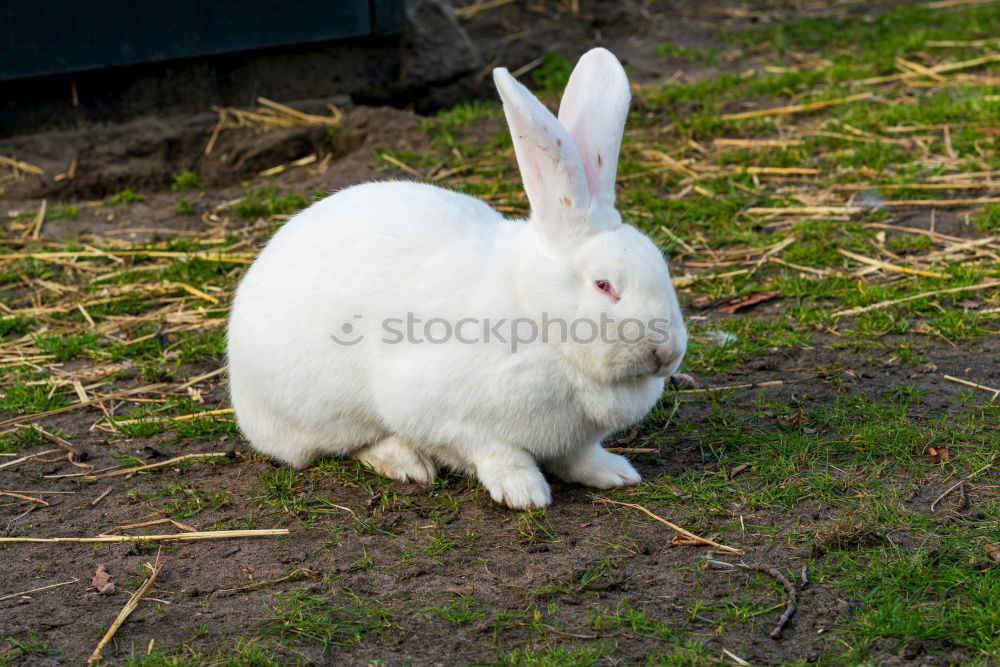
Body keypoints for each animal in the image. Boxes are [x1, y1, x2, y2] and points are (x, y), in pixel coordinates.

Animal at [229, 47, 688, 508]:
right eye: (604, 286)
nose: (667, 353)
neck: (535, 313)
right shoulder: (441, 414)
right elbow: (494, 452)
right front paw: (524, 493)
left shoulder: (570, 440)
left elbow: (576, 456)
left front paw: (613, 473)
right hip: (324, 413)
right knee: (343, 444)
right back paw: (406, 463)